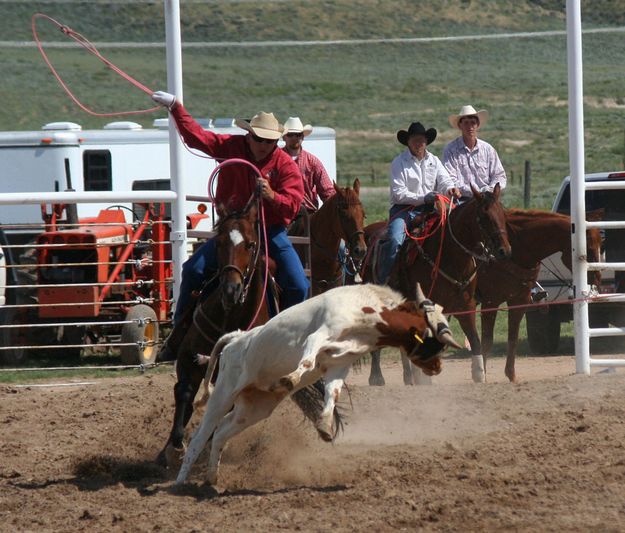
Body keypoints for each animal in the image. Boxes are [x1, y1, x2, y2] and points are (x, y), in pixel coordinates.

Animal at [368, 185, 510, 384]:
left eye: (502, 214)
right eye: (484, 217)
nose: (505, 251)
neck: (449, 256)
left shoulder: (466, 305)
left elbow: (475, 341)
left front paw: (479, 374)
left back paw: (408, 377)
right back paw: (377, 377)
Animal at [476, 208, 604, 382]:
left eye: (601, 245)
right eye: (588, 248)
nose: (597, 279)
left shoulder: (518, 301)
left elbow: (513, 338)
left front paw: (511, 376)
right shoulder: (490, 302)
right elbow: (486, 341)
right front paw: (481, 377)